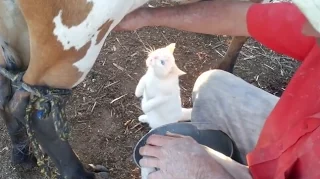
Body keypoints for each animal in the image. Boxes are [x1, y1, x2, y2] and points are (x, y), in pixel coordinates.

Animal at [134, 43, 191, 179]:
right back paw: (143, 118)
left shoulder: (163, 97)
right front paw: (138, 92)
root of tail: (180, 113)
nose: (154, 57)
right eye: (158, 53)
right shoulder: (146, 77)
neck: (156, 78)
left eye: (162, 62)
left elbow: (152, 103)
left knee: (154, 126)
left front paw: (144, 104)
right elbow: (142, 81)